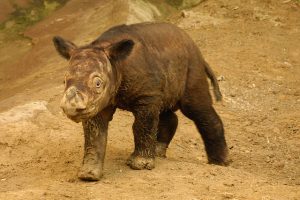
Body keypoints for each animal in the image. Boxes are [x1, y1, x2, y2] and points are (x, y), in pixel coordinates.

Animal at [52, 22, 229, 181]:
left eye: (98, 83)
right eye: (64, 81)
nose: (70, 107)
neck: (115, 63)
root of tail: (197, 51)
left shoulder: (146, 95)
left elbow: (143, 124)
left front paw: (140, 164)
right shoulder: (96, 103)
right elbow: (94, 133)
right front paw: (88, 174)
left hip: (192, 63)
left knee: (195, 107)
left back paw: (220, 163)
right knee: (164, 109)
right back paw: (158, 152)